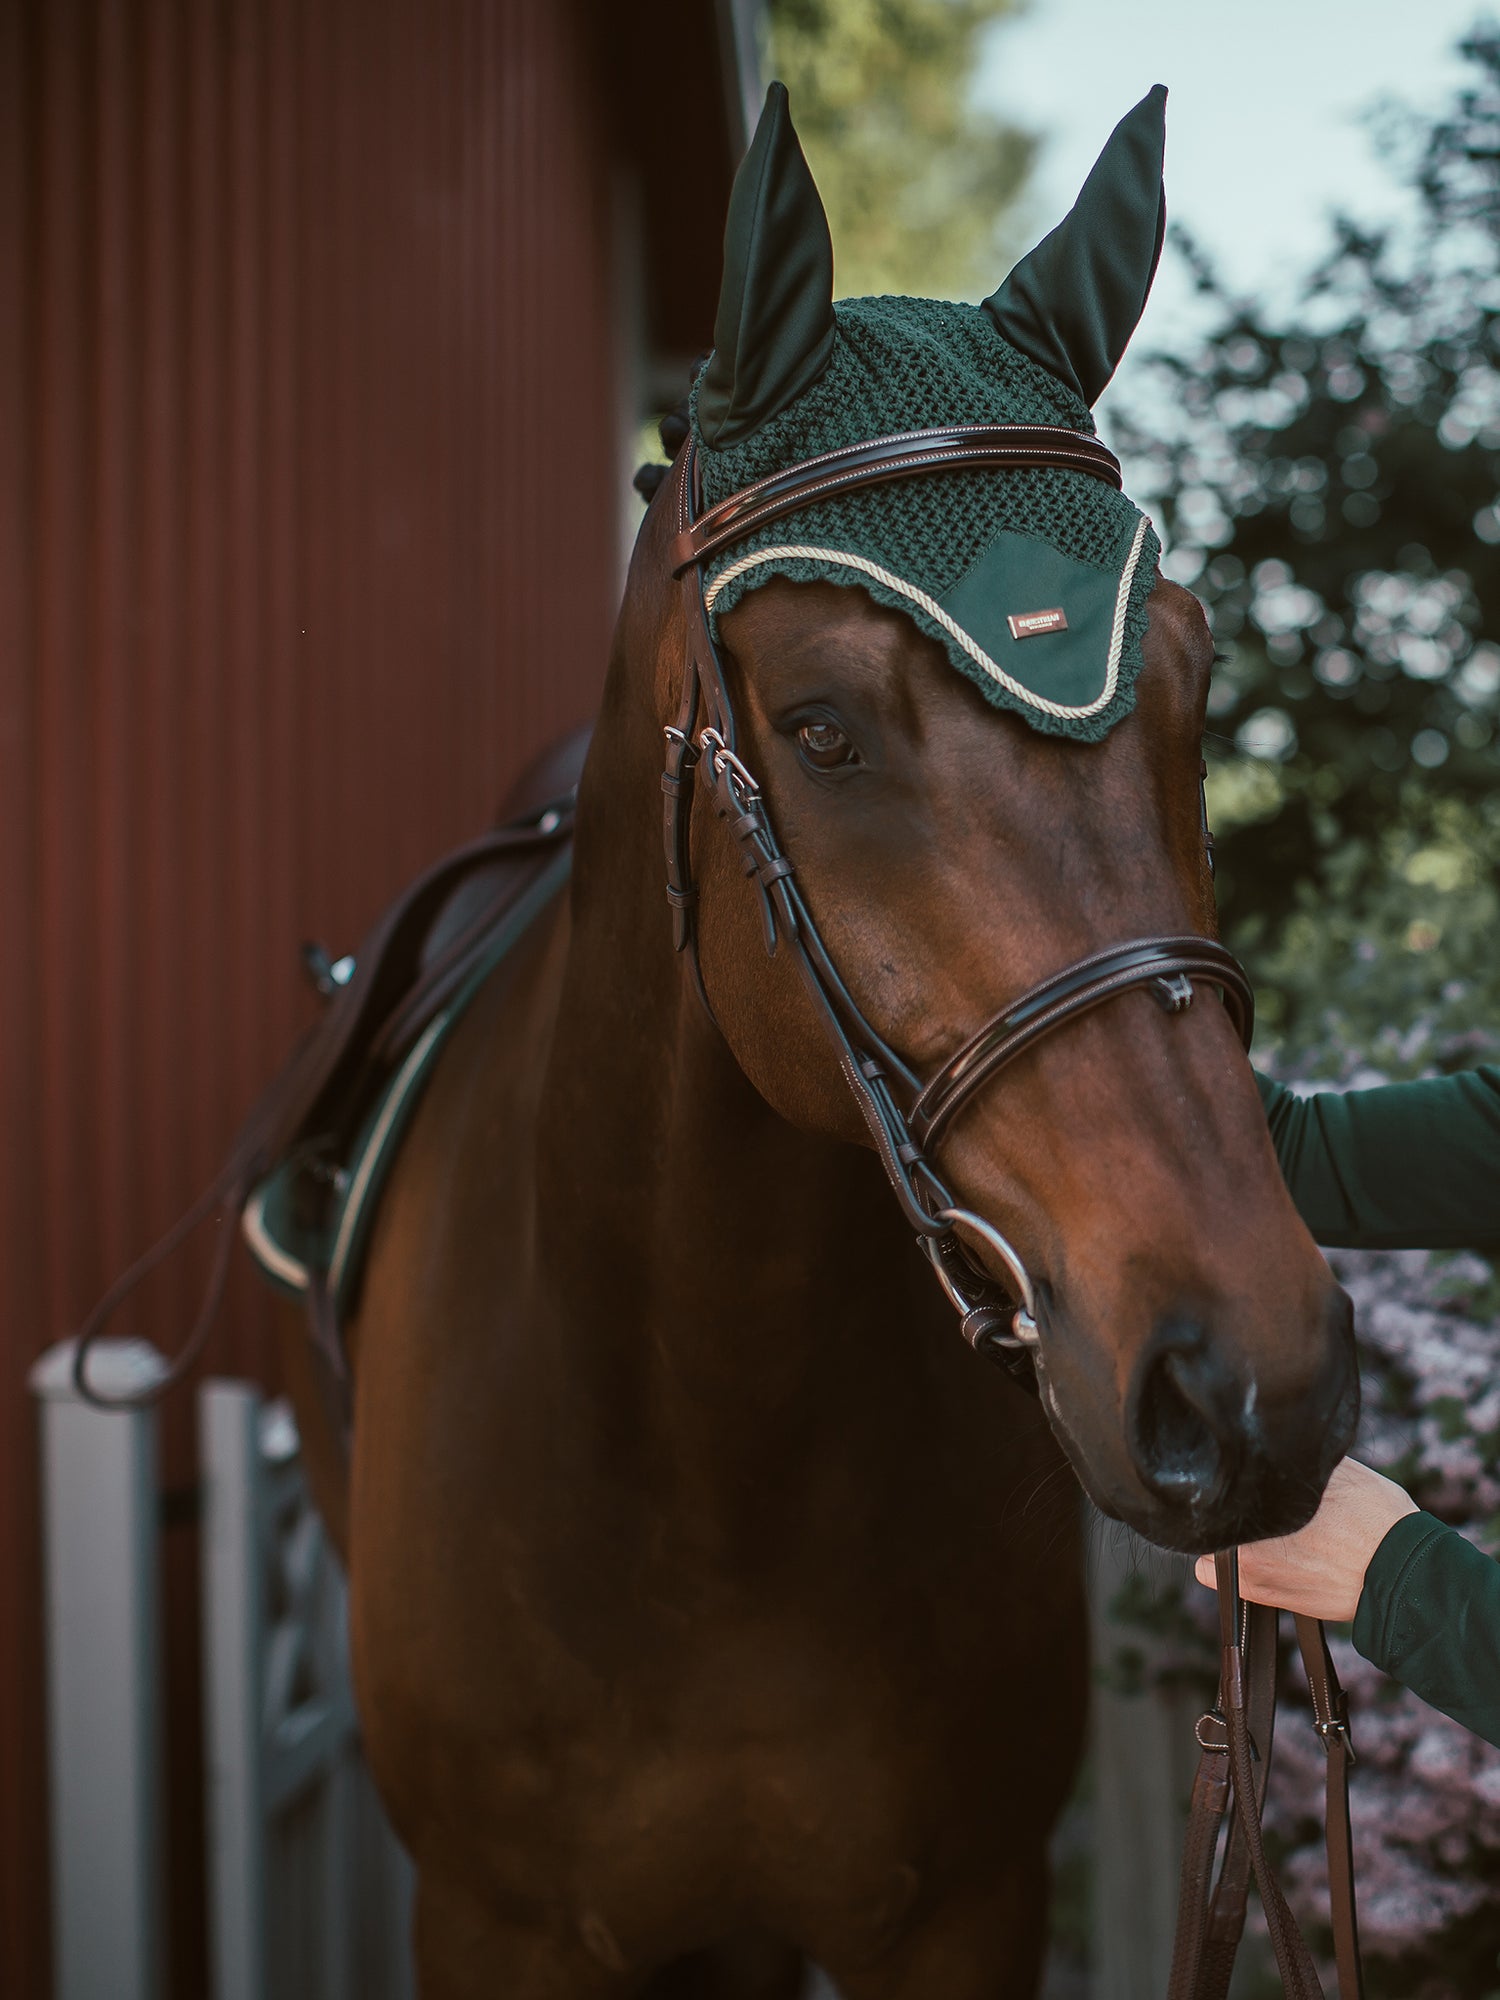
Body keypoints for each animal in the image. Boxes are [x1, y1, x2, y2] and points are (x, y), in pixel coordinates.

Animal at [270, 86, 1360, 1992]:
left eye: (1194, 674)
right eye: (823, 724)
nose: (1256, 1389)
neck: (710, 1461)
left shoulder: (966, 1905)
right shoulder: (493, 1923)